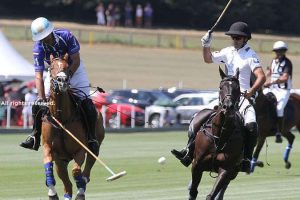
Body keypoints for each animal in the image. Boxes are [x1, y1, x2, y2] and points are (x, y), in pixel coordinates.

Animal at [41, 54, 104, 200]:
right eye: (51, 68)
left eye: (67, 67)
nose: (62, 81)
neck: (61, 119)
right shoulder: (49, 148)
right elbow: (48, 167)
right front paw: (52, 193)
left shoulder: (80, 149)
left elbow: (76, 171)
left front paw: (80, 190)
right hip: (61, 160)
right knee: (67, 183)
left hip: (95, 144)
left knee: (89, 164)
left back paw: (83, 183)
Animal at [189, 68, 245, 199]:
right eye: (221, 87)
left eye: (238, 88)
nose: (228, 107)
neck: (220, 135)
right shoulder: (197, 164)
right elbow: (193, 191)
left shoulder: (226, 169)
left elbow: (211, 195)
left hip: (234, 172)